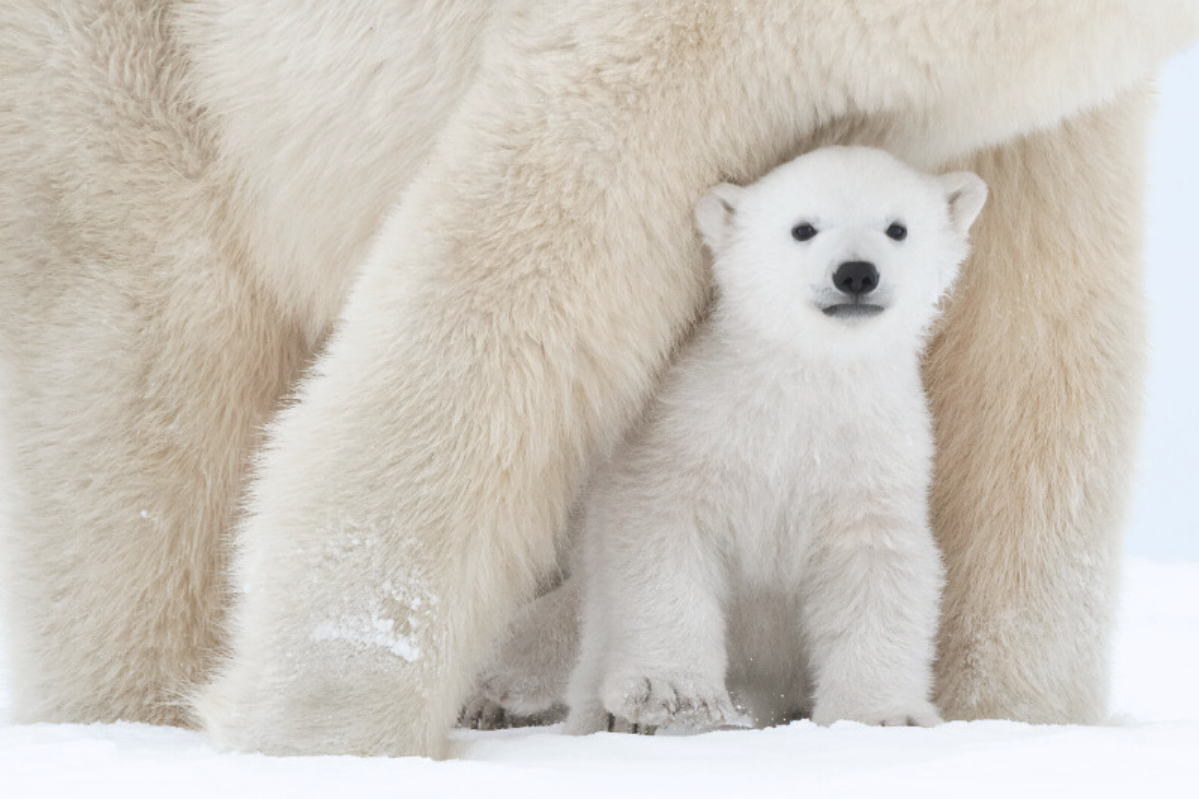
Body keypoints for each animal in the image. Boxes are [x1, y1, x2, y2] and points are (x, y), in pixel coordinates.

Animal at [0, 0, 1196, 758]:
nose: (855, 275)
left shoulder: (1034, 103)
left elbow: (1039, 342)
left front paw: (1008, 717)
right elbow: (520, 264)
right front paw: (327, 732)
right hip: (135, 70)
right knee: (147, 359)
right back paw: (136, 709)